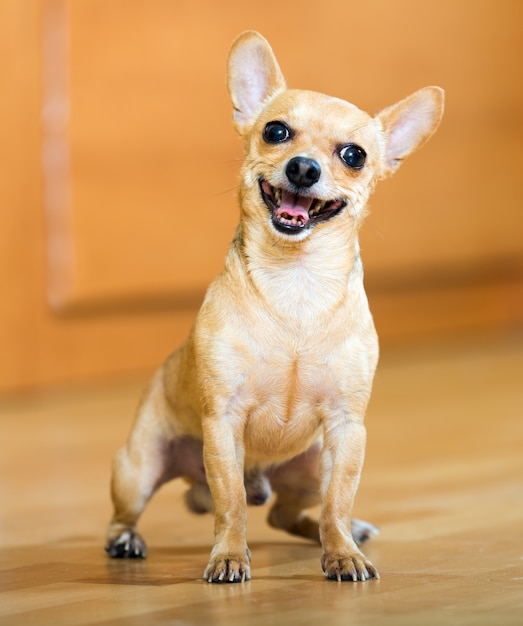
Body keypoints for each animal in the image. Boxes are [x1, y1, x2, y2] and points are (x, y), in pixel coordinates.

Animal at [106, 30, 446, 580]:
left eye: (354, 155)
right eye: (276, 131)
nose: (303, 166)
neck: (297, 283)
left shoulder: (346, 430)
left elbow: (338, 500)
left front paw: (343, 555)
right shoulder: (223, 425)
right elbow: (230, 504)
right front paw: (228, 556)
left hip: (310, 464)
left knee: (294, 514)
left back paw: (345, 535)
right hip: (139, 468)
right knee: (131, 513)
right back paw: (125, 541)